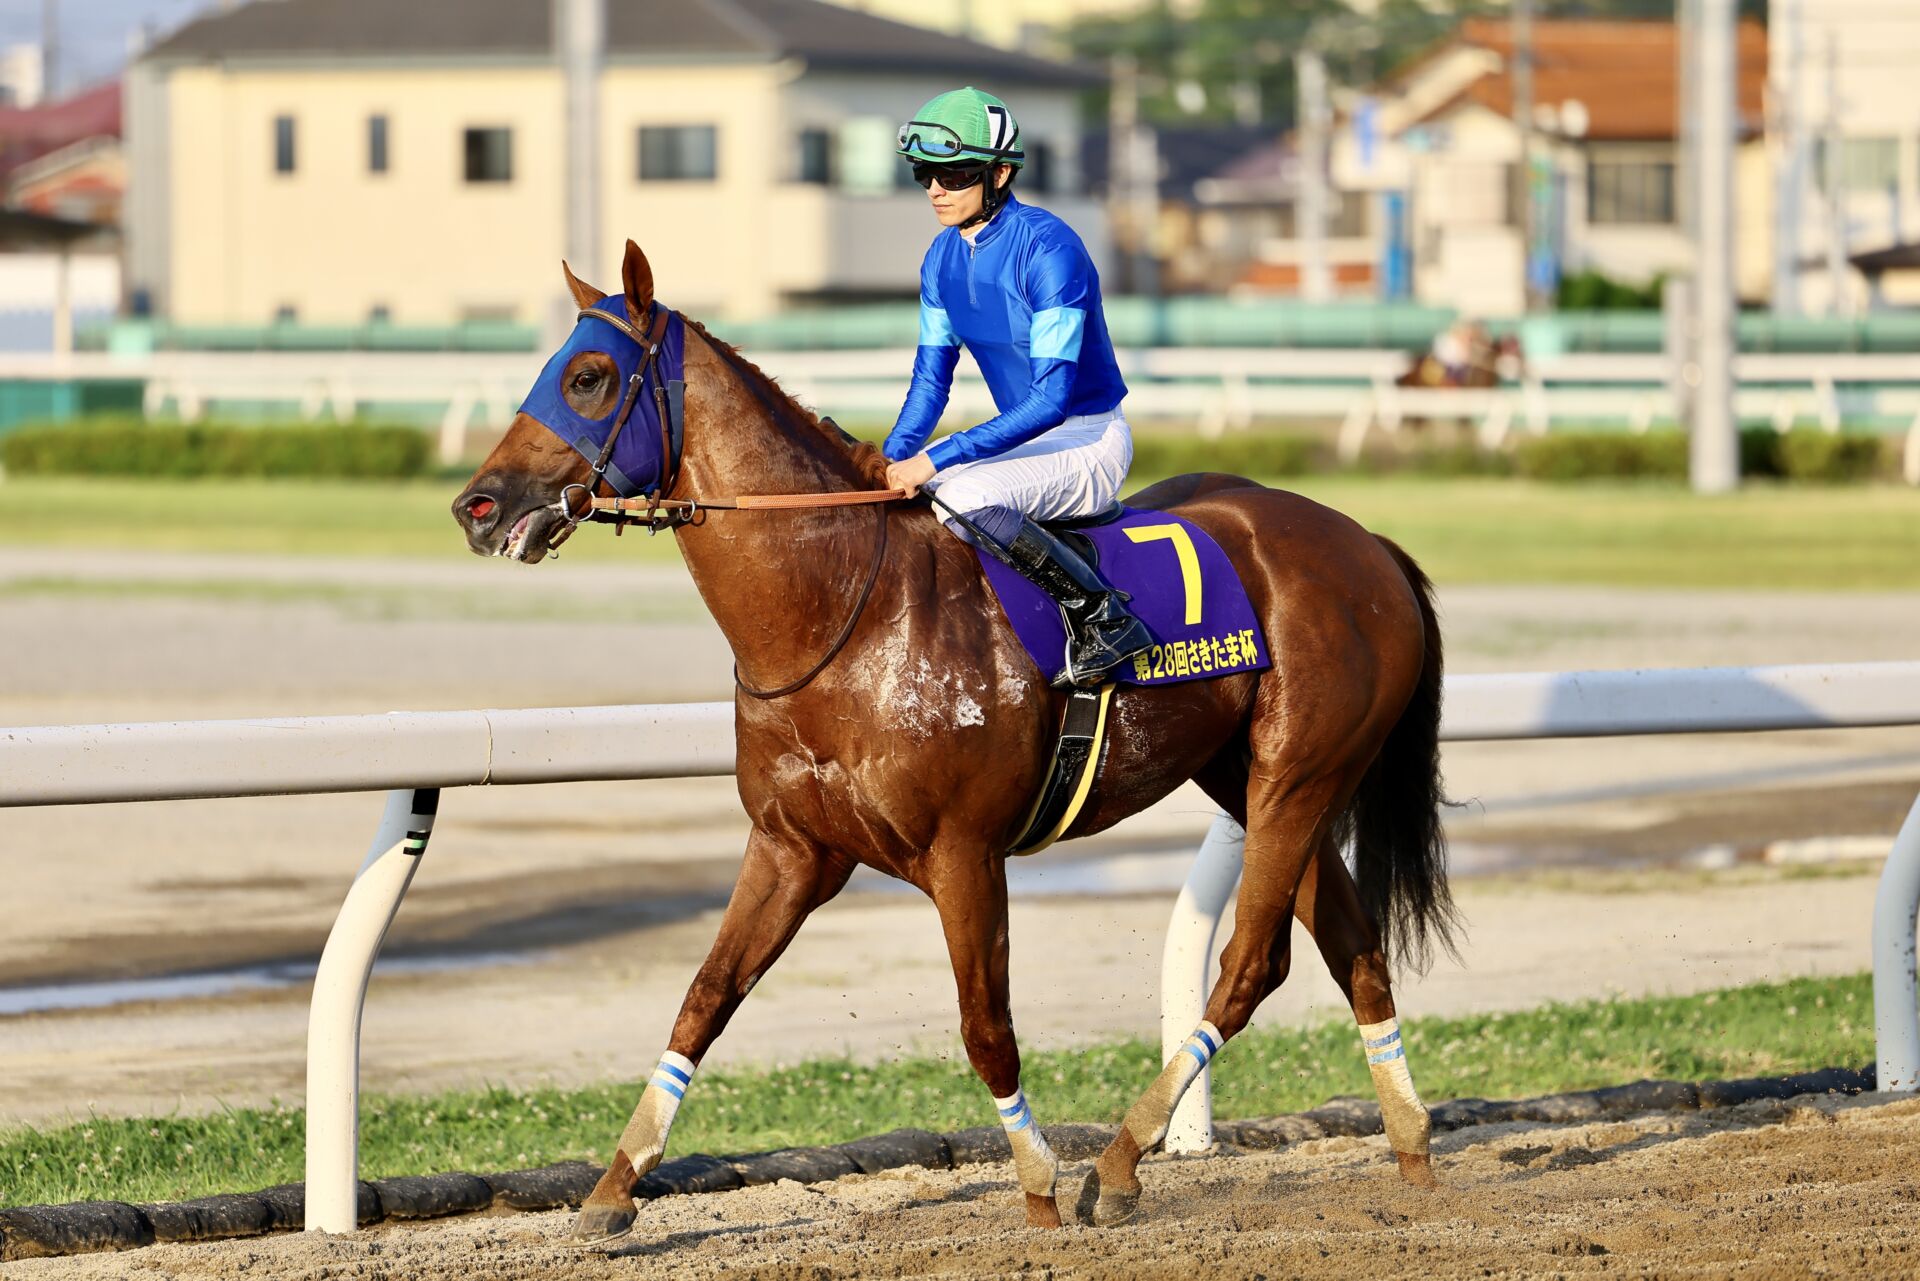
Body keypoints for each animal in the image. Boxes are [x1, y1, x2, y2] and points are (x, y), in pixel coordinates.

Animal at [453, 242, 1451, 1244]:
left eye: (586, 376)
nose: (476, 505)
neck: (844, 611)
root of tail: (1366, 541)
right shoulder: (791, 847)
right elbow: (704, 997)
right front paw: (614, 1185)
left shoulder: (964, 851)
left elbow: (985, 1024)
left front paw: (1041, 1185)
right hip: (1258, 779)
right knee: (1355, 949)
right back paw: (1410, 1145)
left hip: (1296, 773)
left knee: (1252, 962)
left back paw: (1119, 1163)